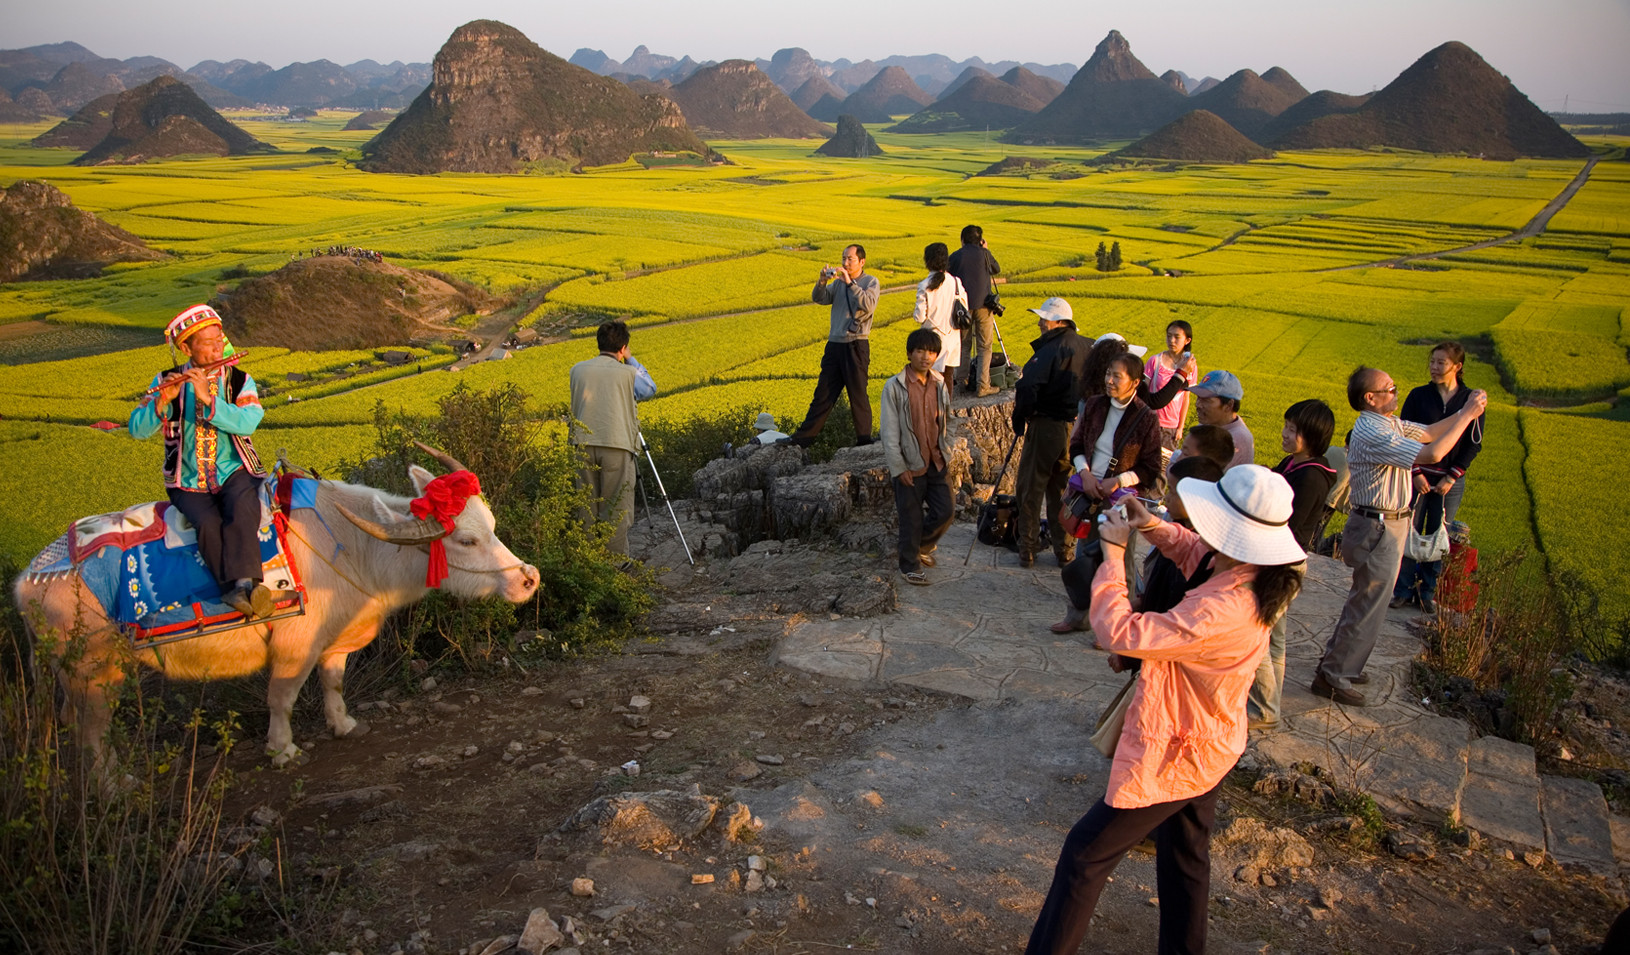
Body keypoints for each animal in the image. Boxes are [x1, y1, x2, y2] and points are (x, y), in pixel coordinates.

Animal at [12, 446, 541, 765]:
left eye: (492, 525)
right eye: (467, 540)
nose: (528, 579)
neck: (352, 545)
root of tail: (29, 580)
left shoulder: (333, 642)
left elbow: (333, 682)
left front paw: (343, 724)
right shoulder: (294, 646)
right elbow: (282, 697)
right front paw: (282, 749)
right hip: (94, 674)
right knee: (90, 734)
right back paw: (116, 787)